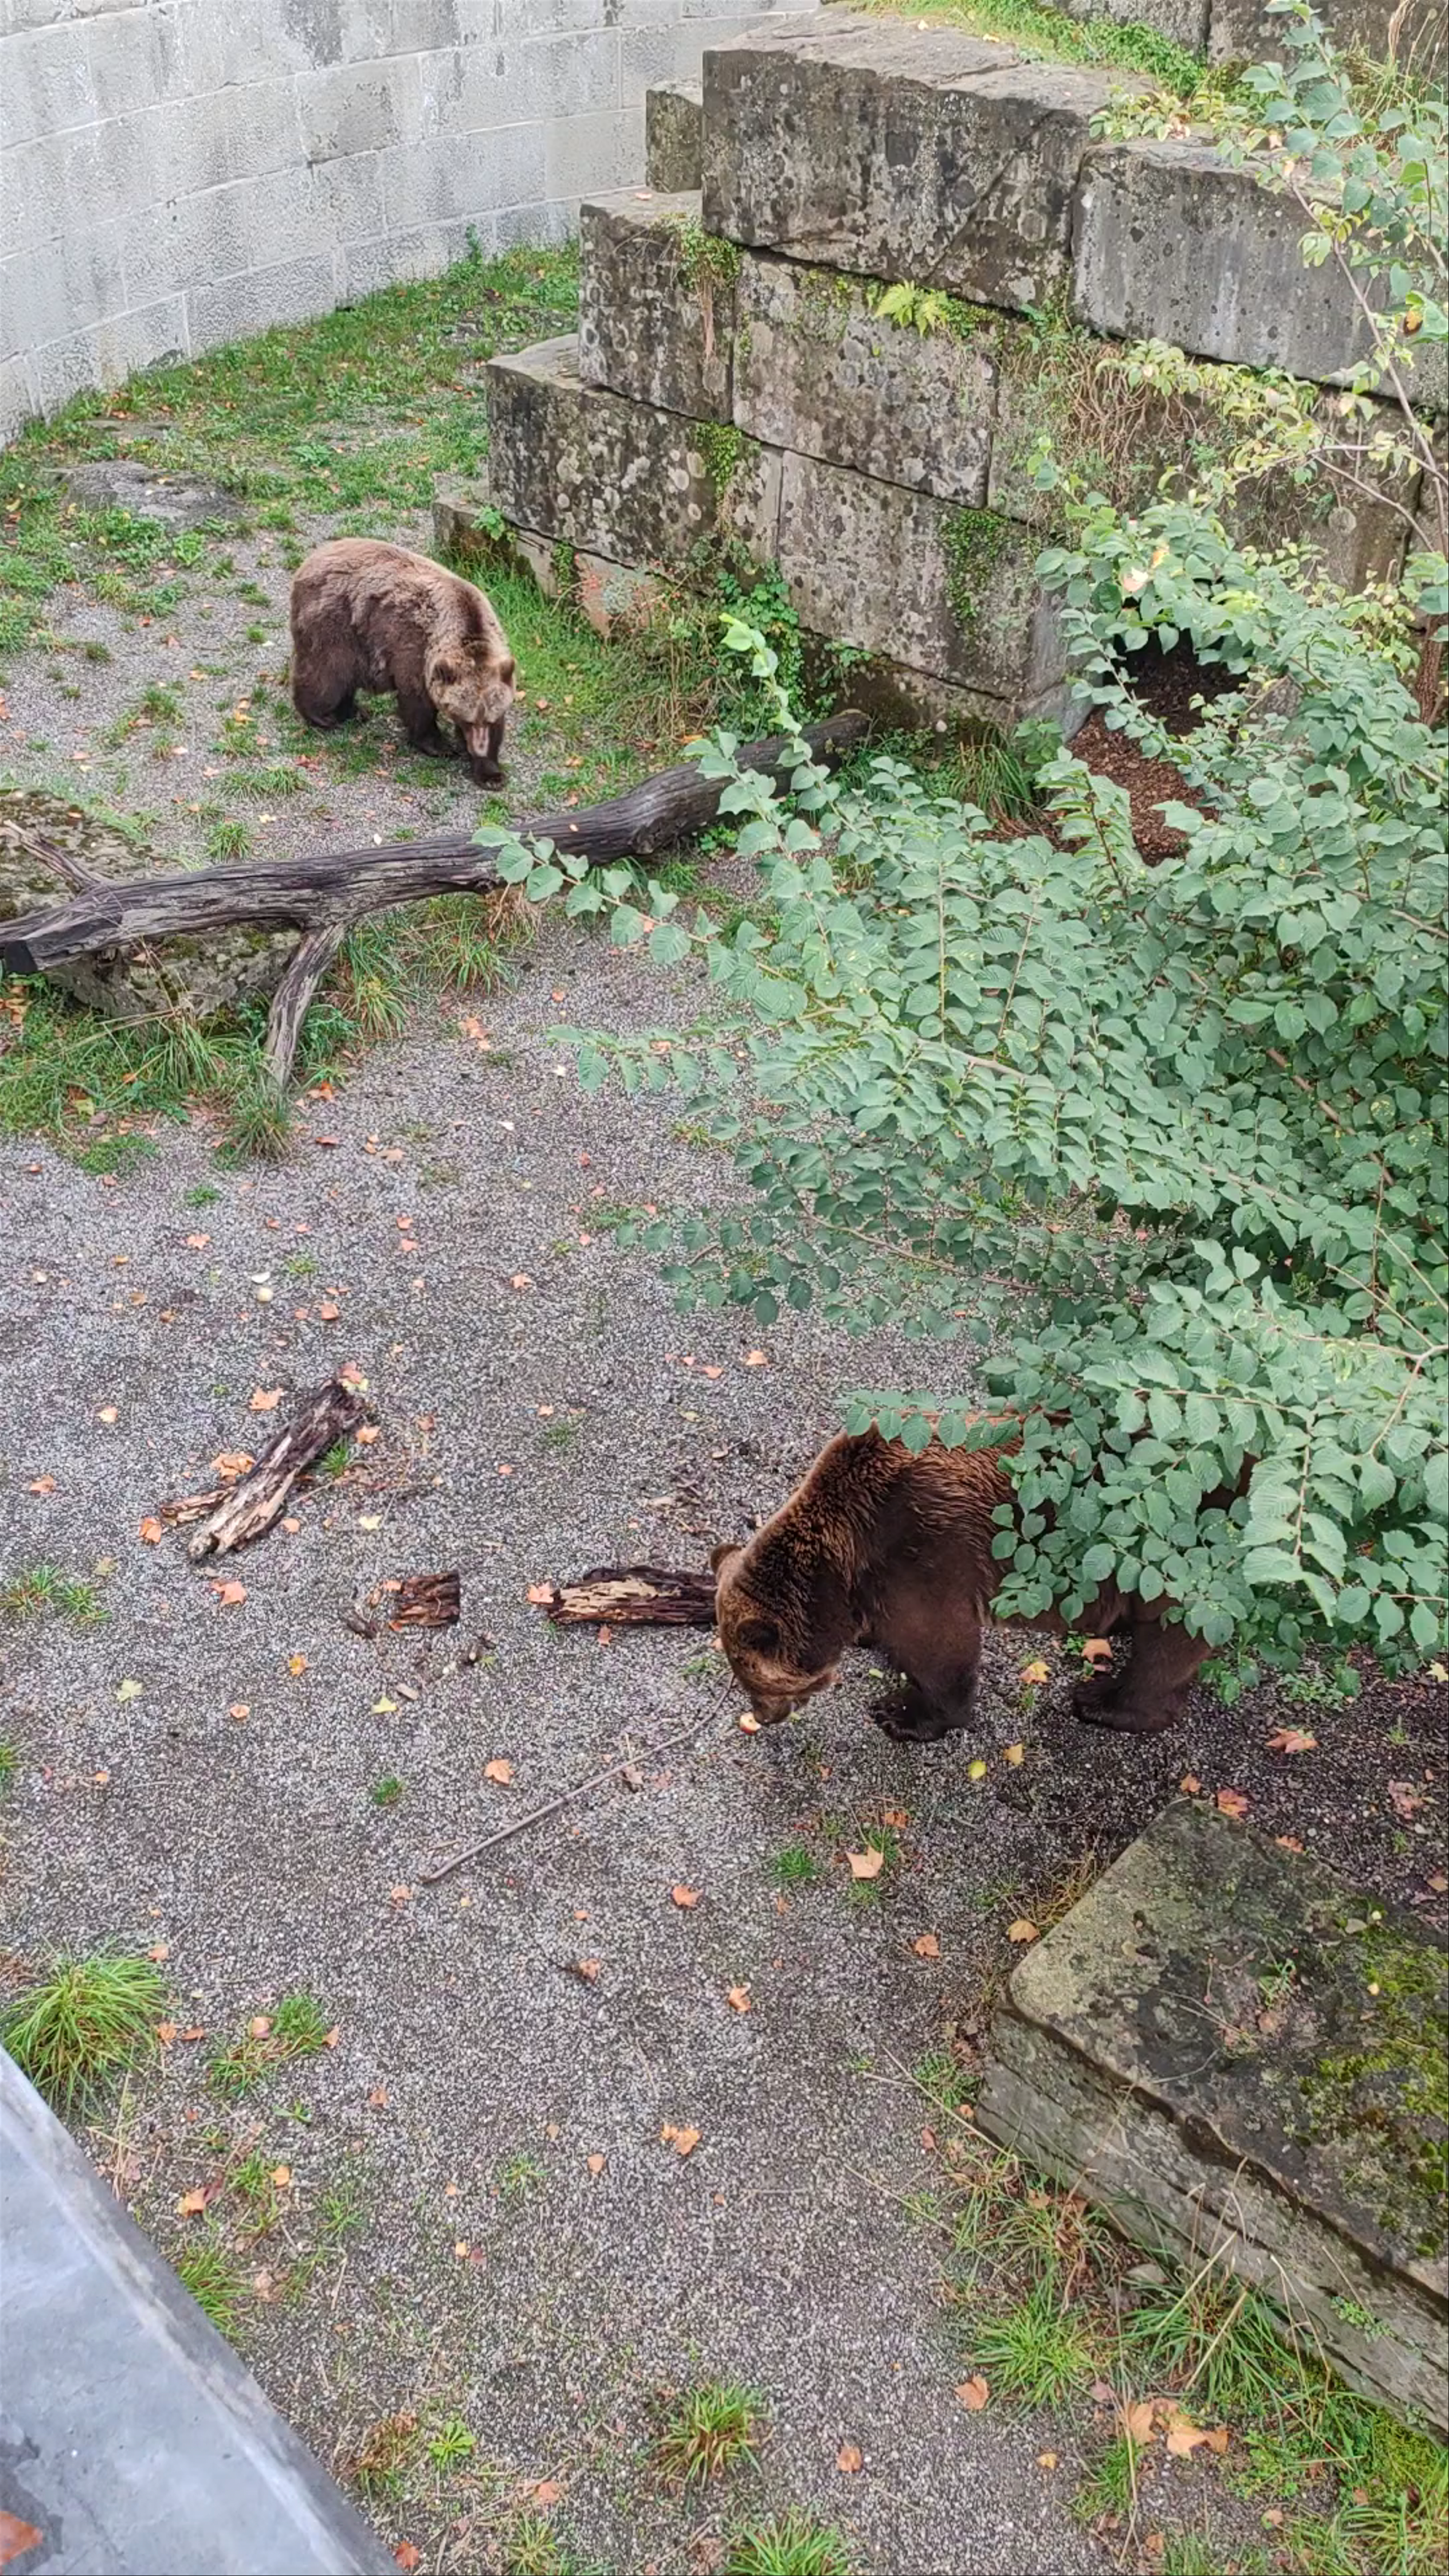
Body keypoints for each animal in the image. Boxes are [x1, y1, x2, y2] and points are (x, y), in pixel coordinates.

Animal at [289, 539, 515, 784]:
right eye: (469, 720)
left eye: (487, 720)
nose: (478, 747)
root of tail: (309, 562)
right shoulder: (414, 651)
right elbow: (418, 703)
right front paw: (440, 746)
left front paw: (491, 773)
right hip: (337, 623)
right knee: (328, 673)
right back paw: (323, 717)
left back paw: (354, 712)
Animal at [711, 1427, 1212, 1742]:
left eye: (752, 1677)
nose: (763, 1716)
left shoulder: (920, 1551)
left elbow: (941, 1645)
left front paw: (902, 1713)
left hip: (1176, 1558)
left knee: (1169, 1642)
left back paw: (1103, 1700)